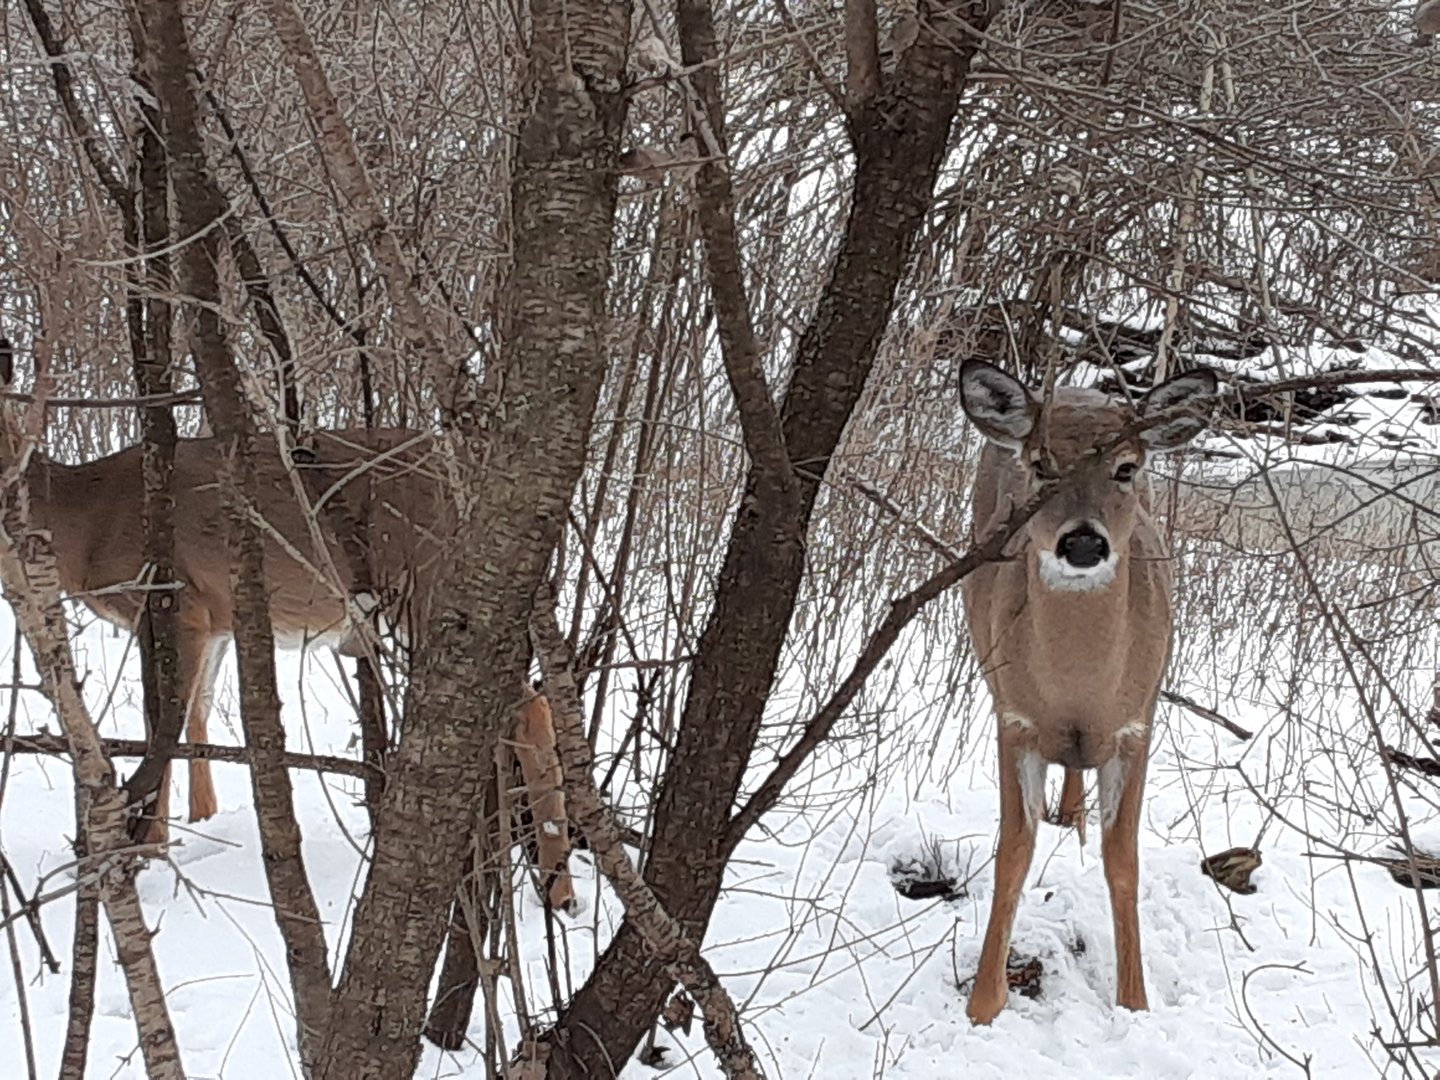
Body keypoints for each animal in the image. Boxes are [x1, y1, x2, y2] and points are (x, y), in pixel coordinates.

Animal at [0, 347, 575, 911]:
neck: (84, 525)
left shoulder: (174, 601)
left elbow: (163, 719)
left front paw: (147, 847)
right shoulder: (216, 620)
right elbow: (197, 713)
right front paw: (202, 820)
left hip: (426, 582)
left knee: (527, 703)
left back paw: (559, 884)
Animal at [957, 357, 1217, 1024]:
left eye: (1125, 467)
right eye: (1041, 463)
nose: (1081, 542)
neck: (1080, 689)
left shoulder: (1136, 725)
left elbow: (1122, 861)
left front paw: (1135, 1002)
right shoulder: (1014, 718)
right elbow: (1012, 854)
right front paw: (983, 1005)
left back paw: (1073, 815)